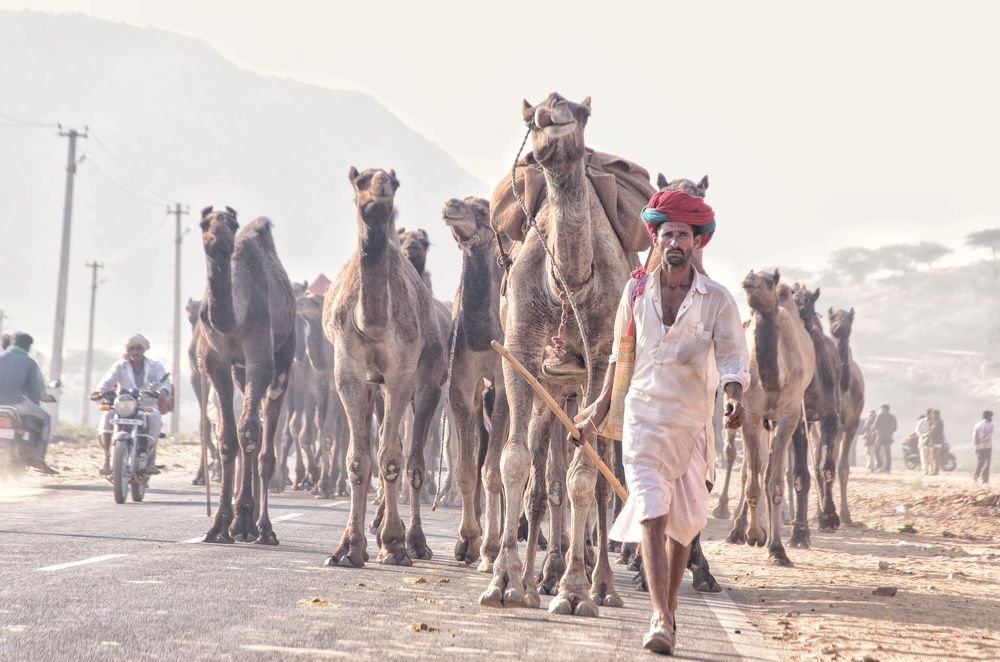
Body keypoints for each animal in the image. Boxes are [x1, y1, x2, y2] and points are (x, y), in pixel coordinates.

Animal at [197, 207, 296, 545]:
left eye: (232, 223)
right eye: (203, 223)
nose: (216, 238)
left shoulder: (259, 358)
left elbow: (250, 431)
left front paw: (242, 523)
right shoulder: (214, 361)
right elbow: (228, 437)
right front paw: (218, 526)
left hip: (285, 358)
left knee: (265, 441)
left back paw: (262, 527)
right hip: (239, 372)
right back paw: (245, 523)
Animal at [323, 167, 447, 567]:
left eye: (392, 183)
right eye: (360, 181)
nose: (378, 196)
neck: (373, 322)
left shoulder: (402, 374)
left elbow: (391, 457)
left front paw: (393, 544)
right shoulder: (348, 370)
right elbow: (359, 459)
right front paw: (348, 548)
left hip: (427, 385)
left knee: (415, 460)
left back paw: (415, 542)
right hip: (371, 385)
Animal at [480, 93, 652, 616]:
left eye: (582, 111)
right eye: (529, 114)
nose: (552, 109)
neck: (568, 283)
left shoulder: (598, 357)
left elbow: (583, 478)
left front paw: (574, 590)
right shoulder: (519, 352)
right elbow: (516, 463)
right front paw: (505, 582)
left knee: (597, 480)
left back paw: (602, 586)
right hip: (553, 387)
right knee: (543, 477)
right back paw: (537, 579)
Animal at [726, 269, 814, 566]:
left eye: (769, 280)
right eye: (750, 275)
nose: (748, 282)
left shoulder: (789, 415)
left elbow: (774, 482)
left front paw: (777, 549)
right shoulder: (752, 414)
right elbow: (753, 478)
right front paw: (755, 534)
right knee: (751, 470)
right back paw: (737, 531)